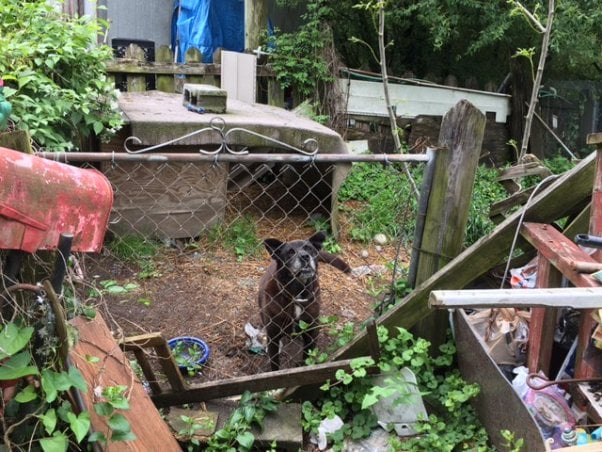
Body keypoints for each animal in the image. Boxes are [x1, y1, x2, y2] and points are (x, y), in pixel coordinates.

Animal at [255, 233, 350, 370]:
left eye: (309, 248)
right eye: (290, 252)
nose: (305, 256)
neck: (297, 295)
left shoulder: (311, 332)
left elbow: (307, 356)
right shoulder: (273, 337)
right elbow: (274, 363)